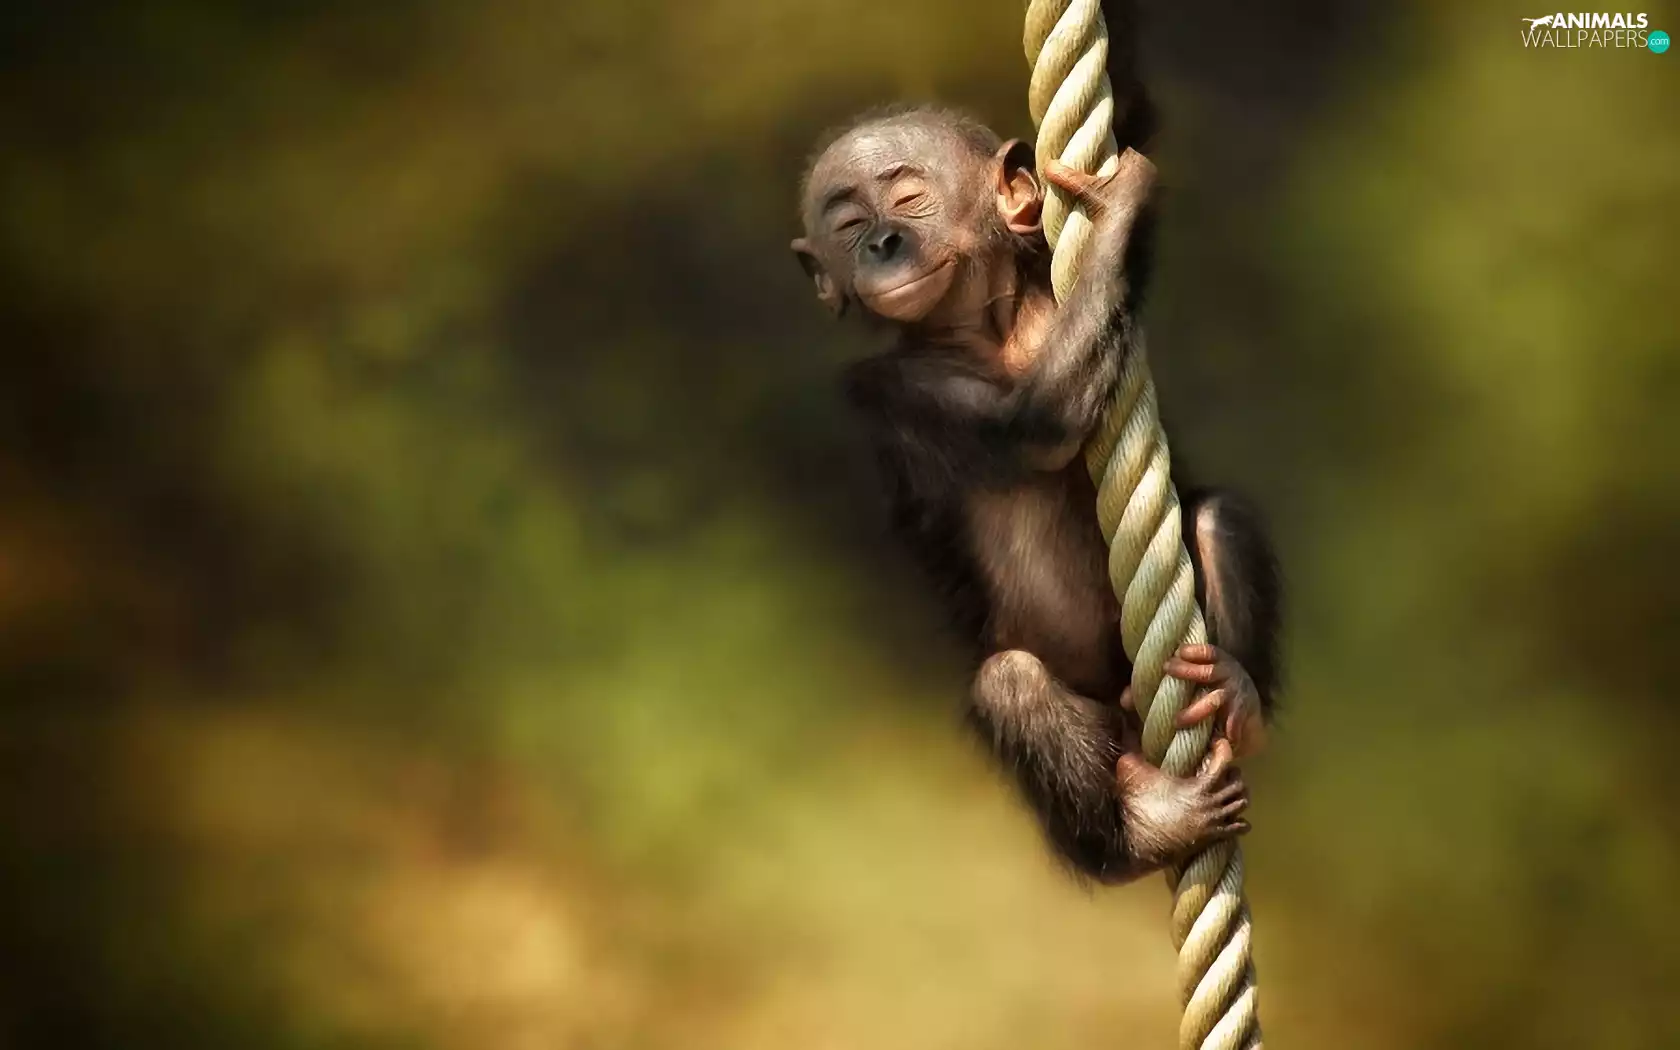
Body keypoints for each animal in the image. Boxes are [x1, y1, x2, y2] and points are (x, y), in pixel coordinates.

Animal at [791, 107, 1282, 884]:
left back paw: (1237, 695)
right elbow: (1036, 424)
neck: (989, 330)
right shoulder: (892, 388)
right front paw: (1114, 213)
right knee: (1012, 686)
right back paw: (1149, 828)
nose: (882, 242)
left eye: (908, 198)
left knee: (1217, 517)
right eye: (848, 224)